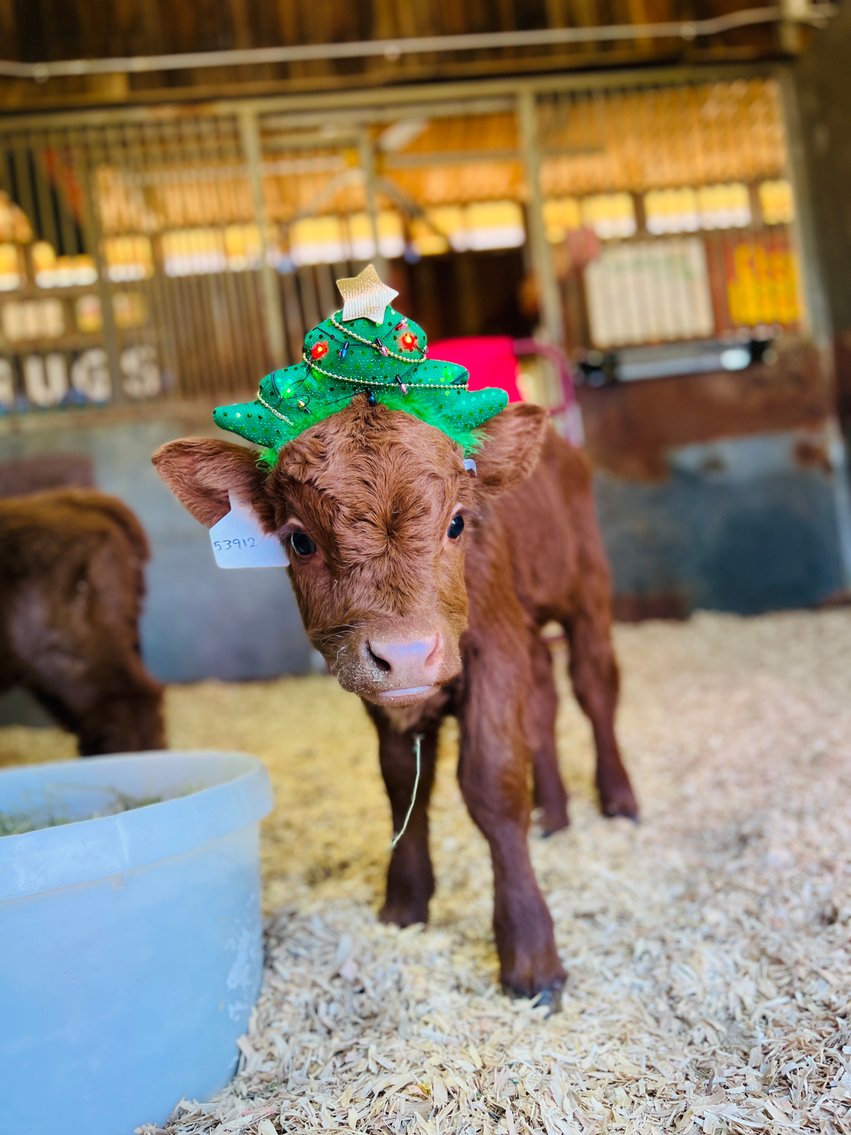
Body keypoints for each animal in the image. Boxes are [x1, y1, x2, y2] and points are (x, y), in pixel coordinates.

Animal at [153, 394, 637, 1005]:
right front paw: (406, 901)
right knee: (544, 698)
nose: (405, 653)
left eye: (457, 522)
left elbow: (492, 782)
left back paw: (618, 799)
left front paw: (530, 954)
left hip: (586, 586)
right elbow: (403, 781)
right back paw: (553, 810)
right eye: (300, 539)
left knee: (594, 683)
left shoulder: (496, 647)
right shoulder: (388, 692)